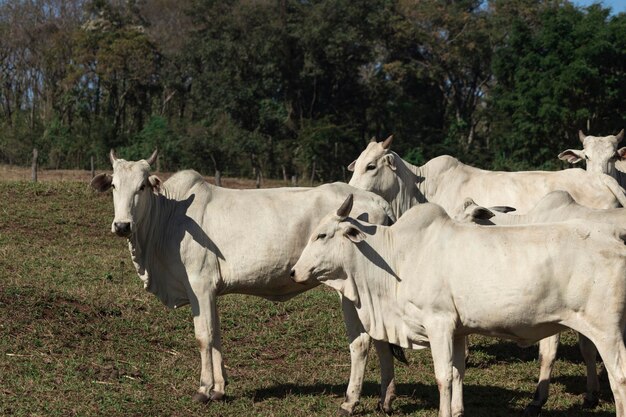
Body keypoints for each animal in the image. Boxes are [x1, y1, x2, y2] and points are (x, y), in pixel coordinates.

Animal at [89, 149, 398, 412]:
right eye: (114, 185)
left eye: (142, 186)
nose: (122, 225)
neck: (168, 219)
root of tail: (379, 203)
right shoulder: (209, 291)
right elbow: (215, 335)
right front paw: (219, 389)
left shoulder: (199, 284)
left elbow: (203, 336)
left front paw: (203, 389)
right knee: (381, 338)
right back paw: (385, 399)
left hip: (350, 289)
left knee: (361, 342)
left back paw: (350, 401)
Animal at [288, 193, 626, 416]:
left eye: (322, 235)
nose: (294, 272)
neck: (397, 256)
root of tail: (615, 243)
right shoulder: (459, 330)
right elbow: (459, 371)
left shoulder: (438, 322)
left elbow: (444, 376)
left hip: (606, 330)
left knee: (618, 376)